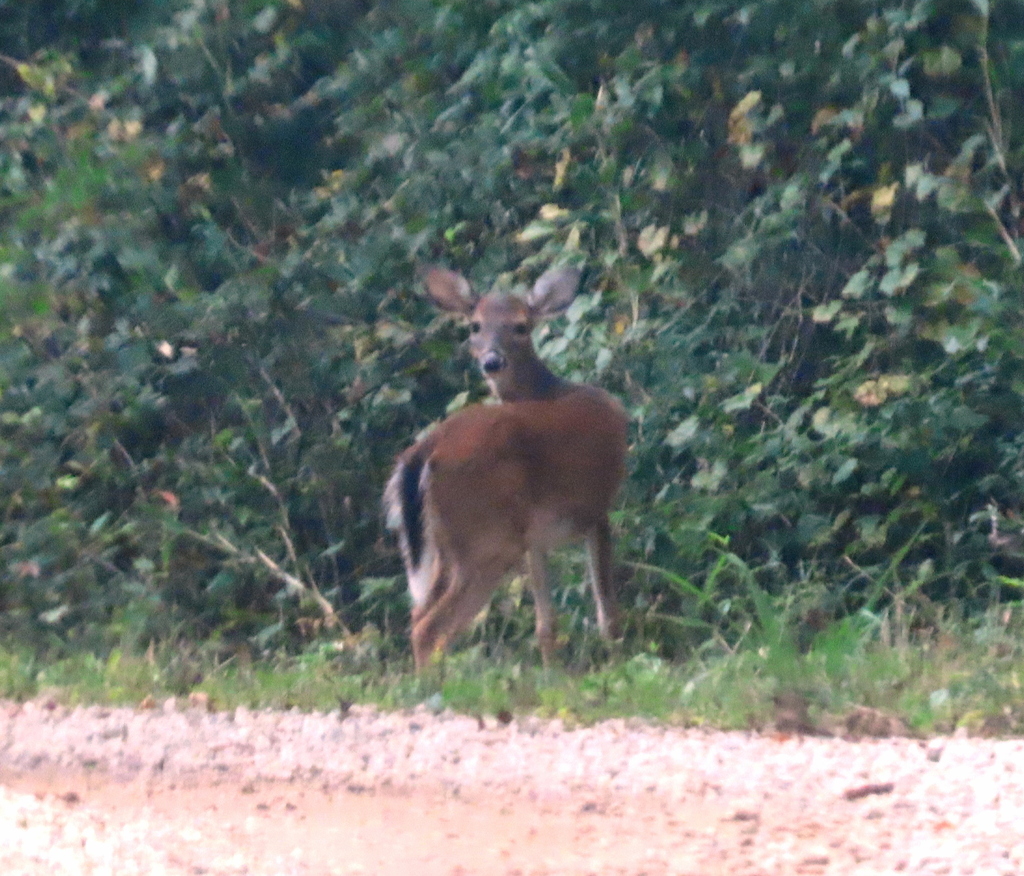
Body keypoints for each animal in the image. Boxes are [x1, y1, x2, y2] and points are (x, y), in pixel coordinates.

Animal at [382, 266, 622, 672]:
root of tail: (425, 450)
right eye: (475, 326)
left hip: (450, 545)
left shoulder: (535, 536)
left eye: (521, 326)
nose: (492, 361)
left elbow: (546, 623)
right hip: (488, 538)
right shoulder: (596, 509)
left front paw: (554, 675)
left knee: (418, 615)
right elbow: (606, 607)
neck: (551, 389)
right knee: (430, 628)